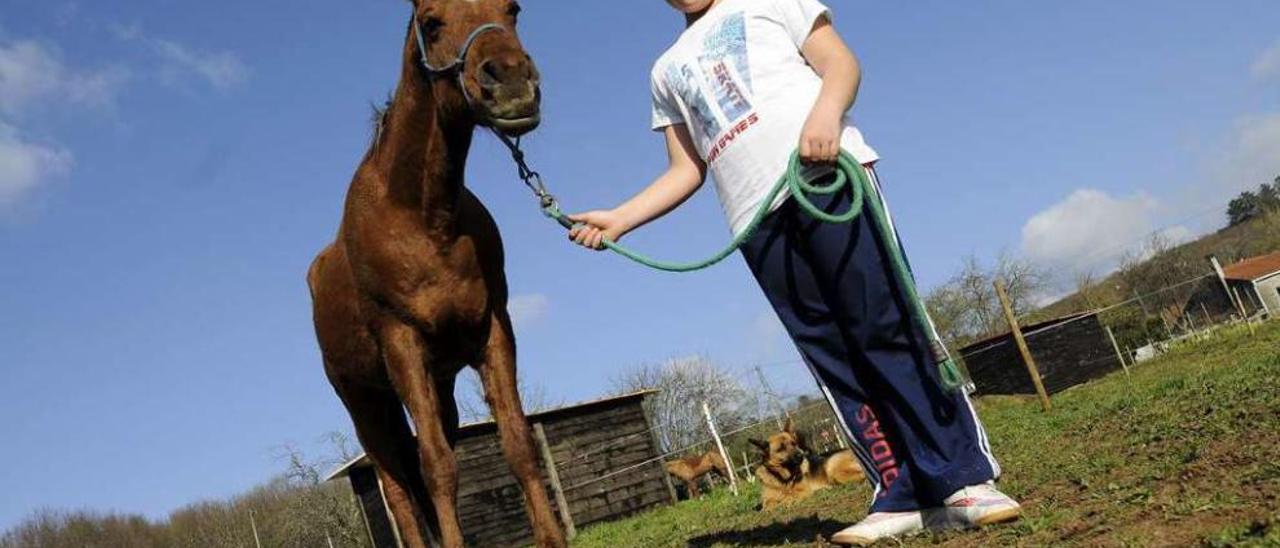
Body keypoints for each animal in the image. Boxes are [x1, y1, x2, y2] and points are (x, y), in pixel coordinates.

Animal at [304, 2, 565, 545]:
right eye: (431, 21)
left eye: (514, 9)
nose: (512, 81)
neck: (422, 218)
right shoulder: (402, 343)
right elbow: (436, 468)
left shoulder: (492, 330)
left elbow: (516, 441)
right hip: (363, 401)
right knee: (397, 486)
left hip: (437, 385)